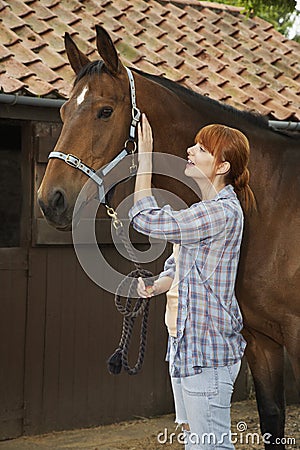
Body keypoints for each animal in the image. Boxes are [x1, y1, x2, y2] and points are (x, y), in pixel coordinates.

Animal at [38, 26, 300, 448]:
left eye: (104, 111)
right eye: (62, 112)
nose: (51, 200)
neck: (273, 204)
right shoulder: (261, 340)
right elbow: (272, 418)